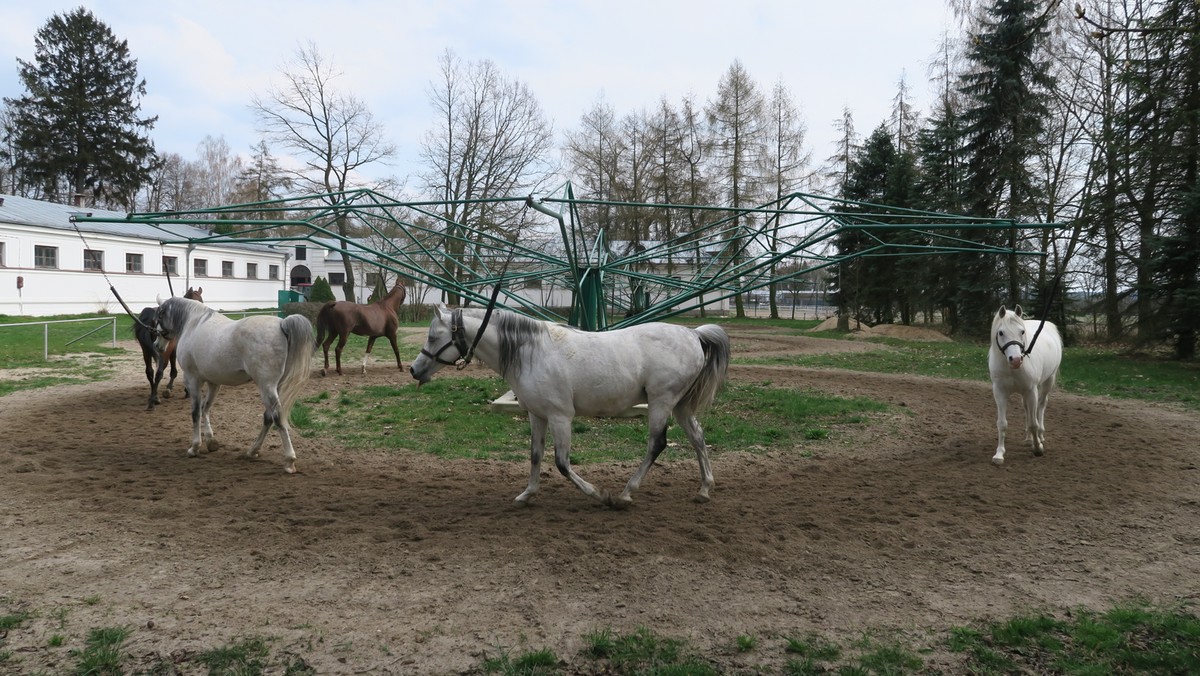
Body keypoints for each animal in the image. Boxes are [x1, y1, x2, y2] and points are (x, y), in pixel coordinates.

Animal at [154, 296, 314, 475]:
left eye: (159, 316)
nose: (157, 345)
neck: (193, 324)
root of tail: (282, 324)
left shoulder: (192, 380)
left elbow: (196, 412)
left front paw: (194, 447)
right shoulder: (214, 382)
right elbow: (205, 408)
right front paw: (211, 441)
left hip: (266, 386)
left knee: (277, 416)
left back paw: (289, 460)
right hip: (275, 386)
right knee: (268, 417)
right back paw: (252, 451)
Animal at [410, 307, 729, 509]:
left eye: (433, 337)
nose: (414, 369)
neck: (532, 351)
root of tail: (693, 335)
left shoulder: (560, 416)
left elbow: (562, 463)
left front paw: (599, 495)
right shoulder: (537, 415)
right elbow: (535, 456)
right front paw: (527, 495)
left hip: (661, 402)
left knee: (657, 444)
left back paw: (625, 494)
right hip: (681, 406)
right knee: (698, 438)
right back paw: (704, 489)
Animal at [988, 304, 1065, 465]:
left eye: (1022, 332)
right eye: (1001, 333)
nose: (1016, 360)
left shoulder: (1031, 391)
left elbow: (1033, 423)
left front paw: (1038, 448)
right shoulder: (1000, 392)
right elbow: (1002, 423)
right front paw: (999, 454)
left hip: (1048, 381)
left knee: (1041, 406)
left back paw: (1040, 436)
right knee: (1027, 411)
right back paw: (1029, 439)